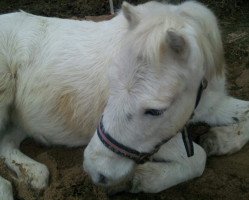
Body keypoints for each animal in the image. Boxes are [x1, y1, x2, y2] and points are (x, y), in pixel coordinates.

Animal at [0, 0, 249, 199]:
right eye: (112, 84)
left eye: (156, 111)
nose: (94, 169)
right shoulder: (154, 142)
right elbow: (198, 158)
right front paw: (139, 180)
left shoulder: (210, 105)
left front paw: (219, 140)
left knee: (6, 143)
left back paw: (35, 175)